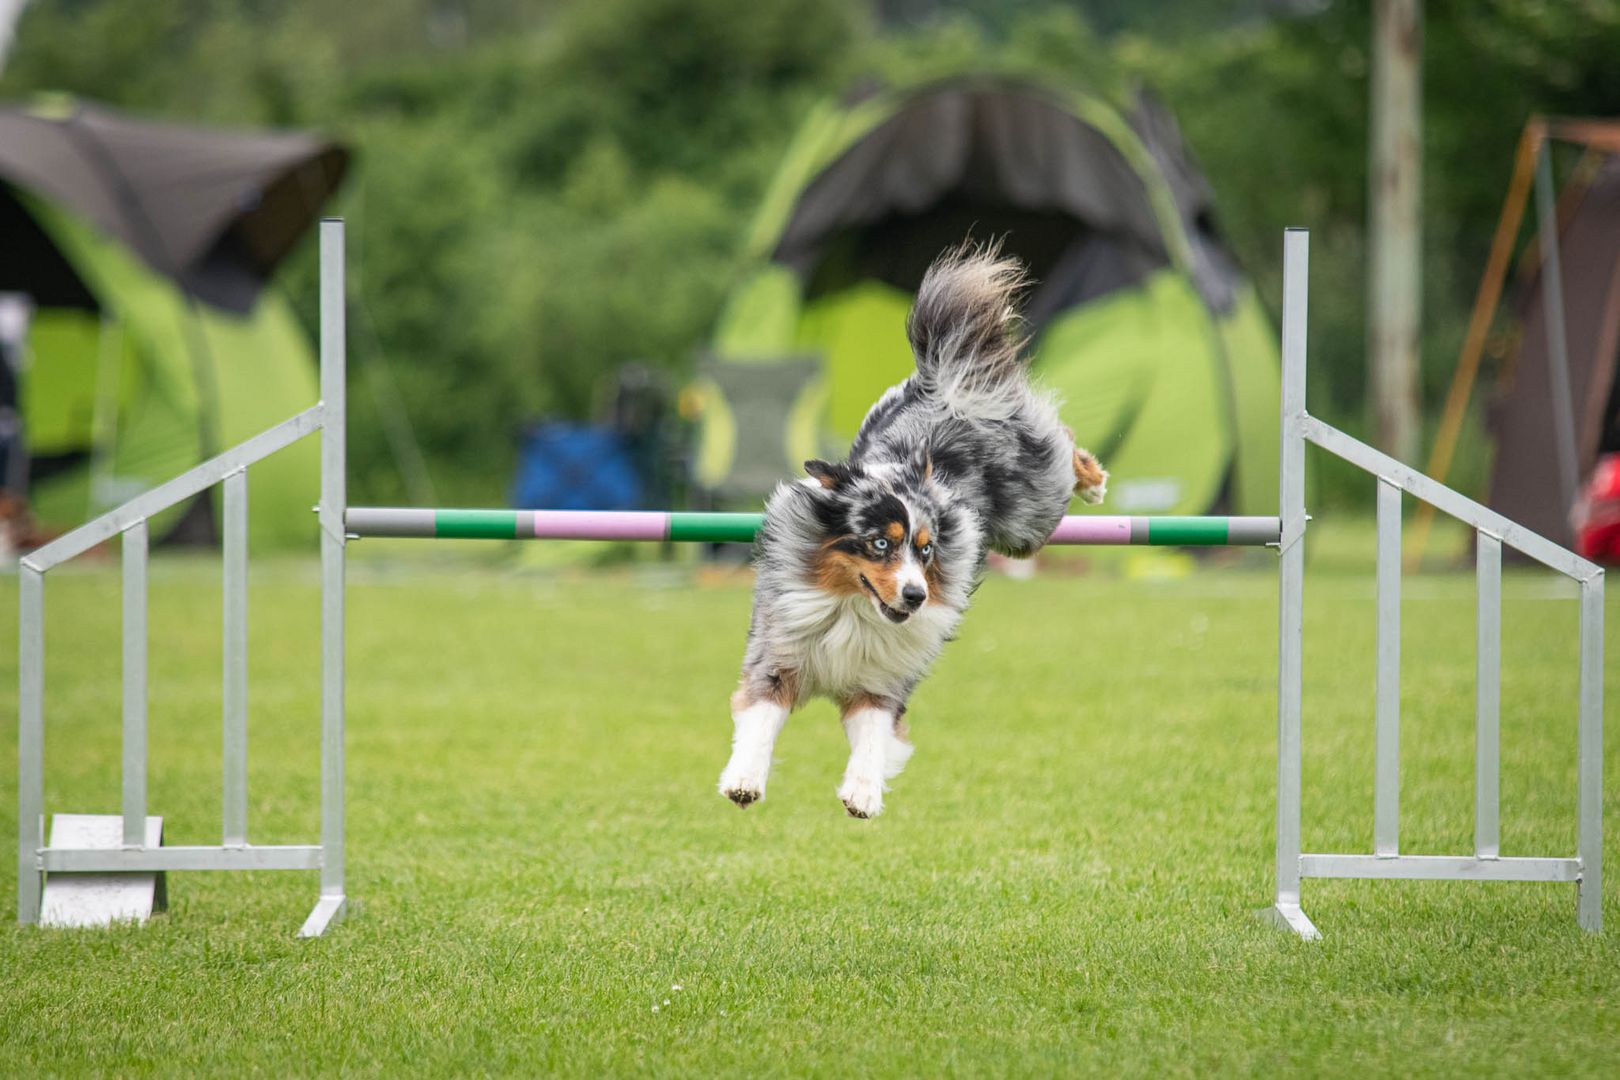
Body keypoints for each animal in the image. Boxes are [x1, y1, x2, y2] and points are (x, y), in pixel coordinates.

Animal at [719, 244, 1108, 819]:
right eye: (879, 543)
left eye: (927, 552)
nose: (916, 596)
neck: (852, 611)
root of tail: (946, 387)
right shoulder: (778, 656)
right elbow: (761, 721)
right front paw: (744, 779)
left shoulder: (881, 684)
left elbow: (874, 740)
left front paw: (862, 792)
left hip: (1029, 523)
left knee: (1060, 438)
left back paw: (1093, 479)